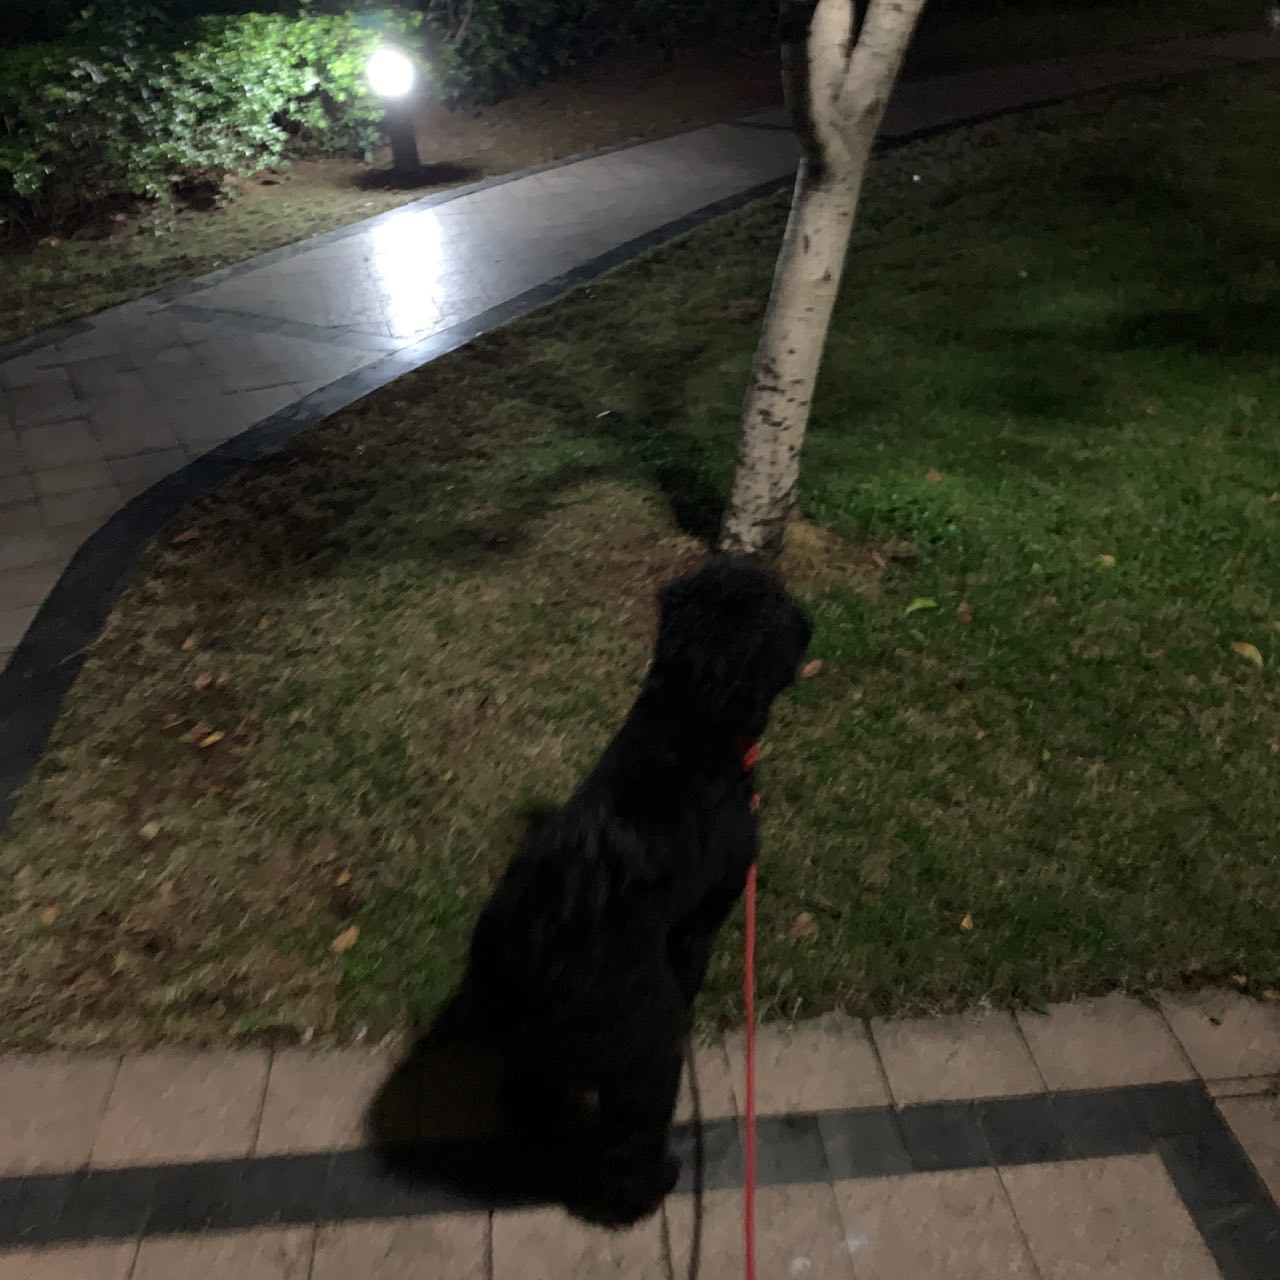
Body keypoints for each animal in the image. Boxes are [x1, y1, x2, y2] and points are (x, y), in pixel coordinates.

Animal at [462, 556, 812, 1226]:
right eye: (776, 604)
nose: (807, 620)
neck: (688, 720)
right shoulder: (708, 908)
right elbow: (694, 960)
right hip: (643, 1057)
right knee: (628, 1145)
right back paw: (649, 1189)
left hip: (533, 1051)